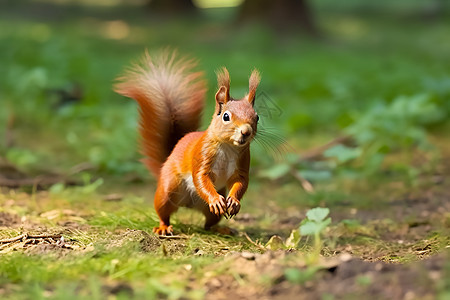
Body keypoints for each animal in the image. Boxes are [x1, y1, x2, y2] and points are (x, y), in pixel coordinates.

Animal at [113, 50, 260, 236]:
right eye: (226, 116)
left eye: (257, 117)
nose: (246, 132)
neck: (228, 147)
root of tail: (188, 204)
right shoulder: (201, 155)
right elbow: (201, 178)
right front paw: (215, 200)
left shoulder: (242, 161)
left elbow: (241, 182)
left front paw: (233, 201)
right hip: (168, 190)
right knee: (163, 212)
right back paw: (163, 227)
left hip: (211, 209)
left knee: (208, 224)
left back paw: (221, 229)